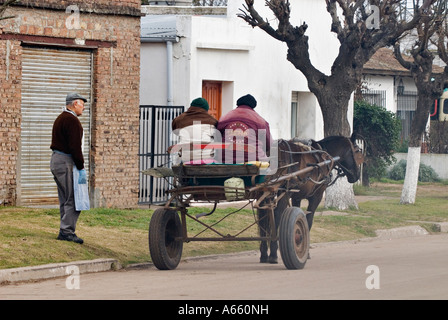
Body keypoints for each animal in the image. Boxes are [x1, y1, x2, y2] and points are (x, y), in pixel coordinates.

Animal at [256, 134, 364, 262]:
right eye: (355, 151)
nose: (356, 175)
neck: (325, 156)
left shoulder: (296, 197)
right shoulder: (316, 196)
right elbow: (309, 221)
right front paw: (305, 252)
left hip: (266, 192)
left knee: (263, 217)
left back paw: (264, 254)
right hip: (283, 191)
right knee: (277, 214)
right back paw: (273, 254)